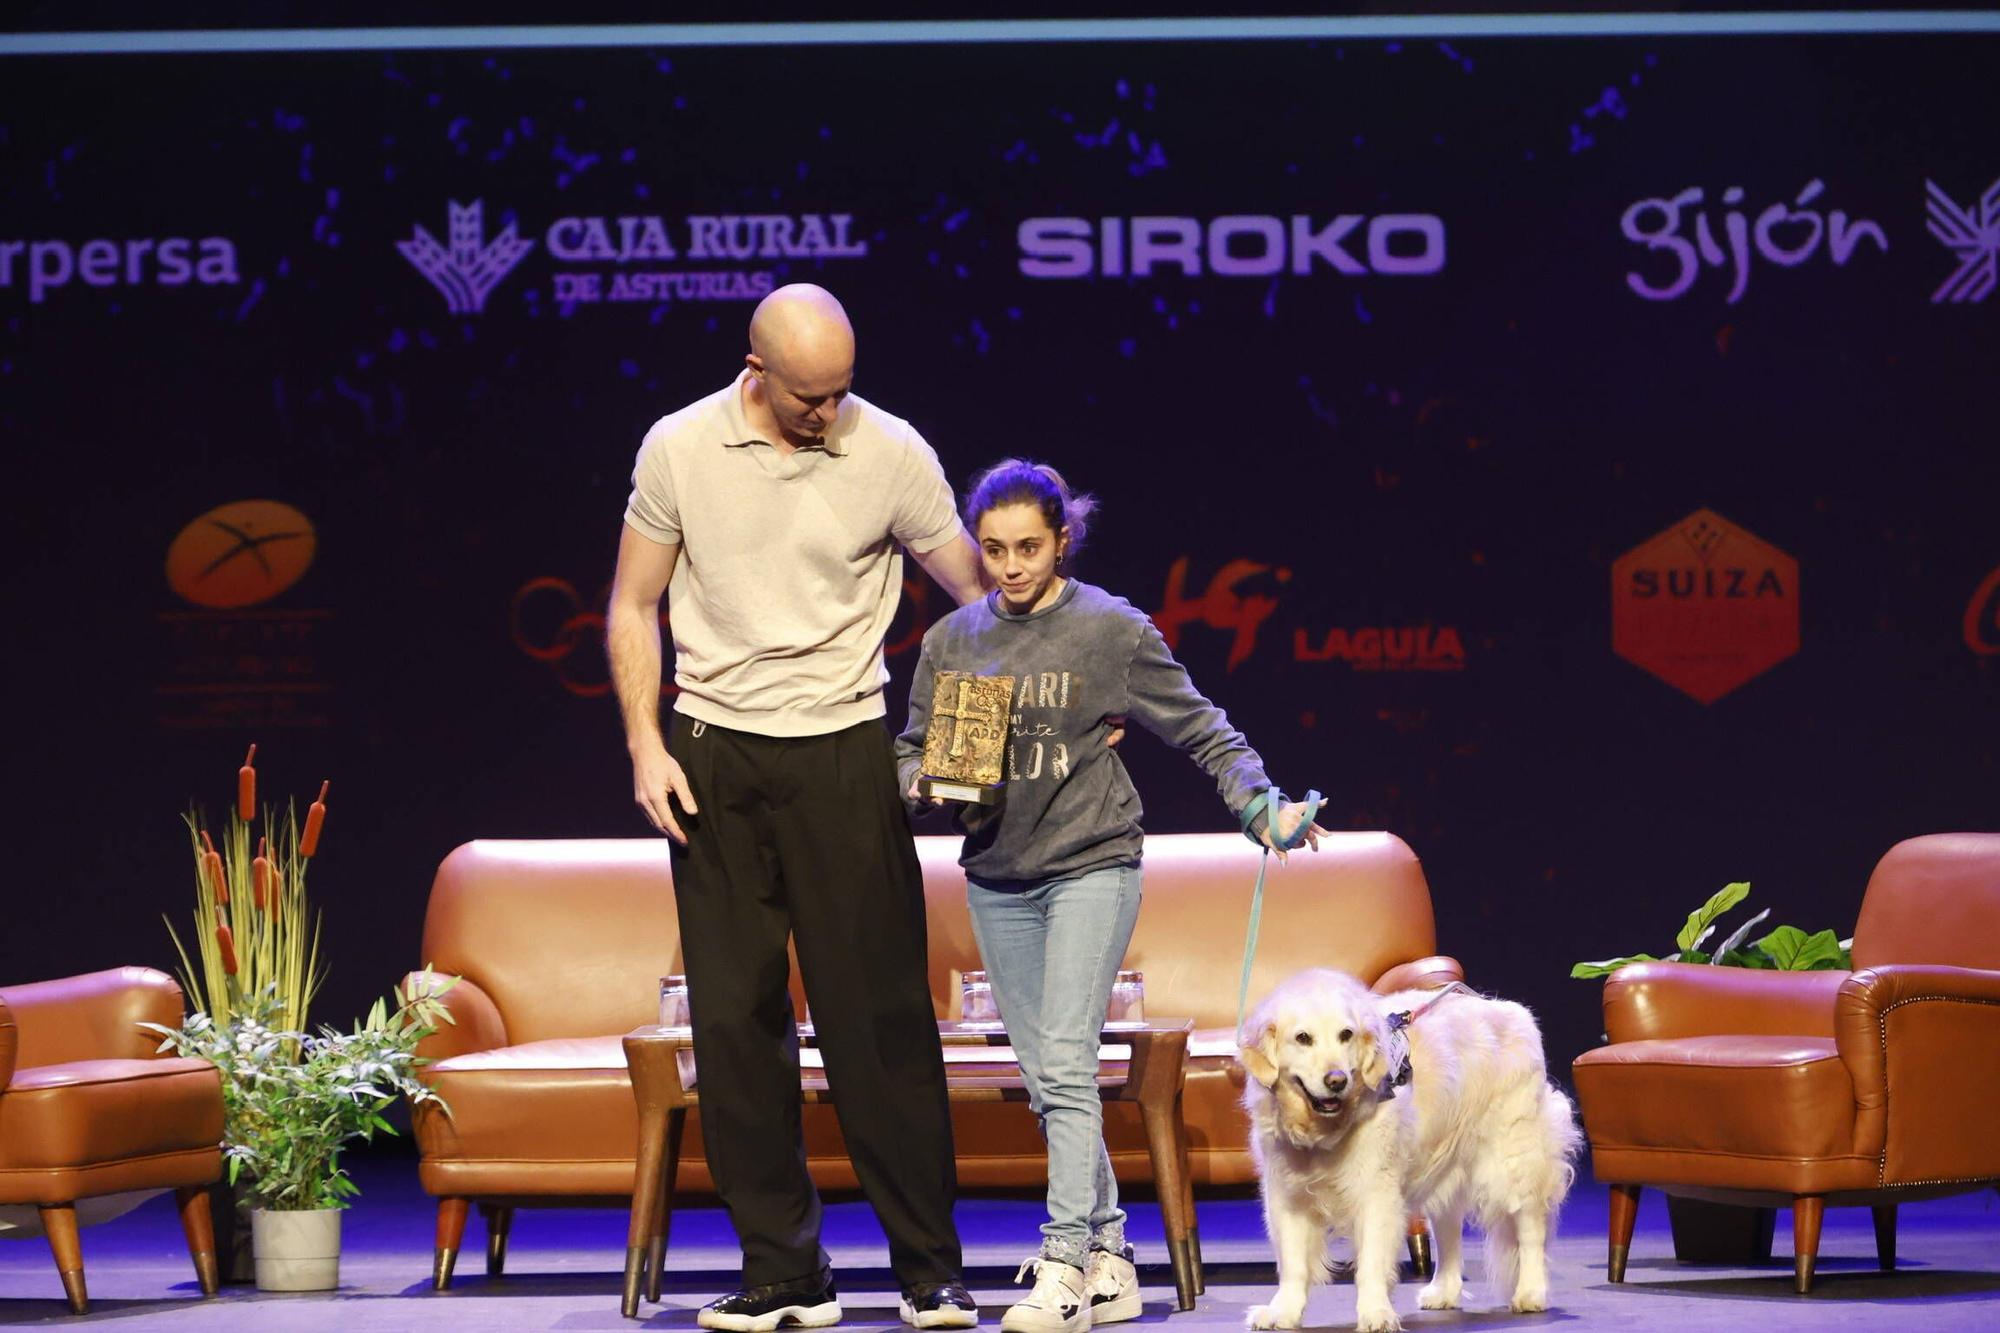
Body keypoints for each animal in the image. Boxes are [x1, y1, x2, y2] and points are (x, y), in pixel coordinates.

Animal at [1232, 964, 1576, 1328]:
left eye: (1346, 1035)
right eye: (1302, 1038)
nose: (1337, 1080)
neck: (1324, 1133)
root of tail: (1509, 1009)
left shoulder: (1376, 1194)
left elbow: (1370, 1263)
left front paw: (1375, 1313)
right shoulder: (1288, 1196)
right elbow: (1294, 1265)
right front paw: (1283, 1311)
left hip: (1513, 1162)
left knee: (1530, 1228)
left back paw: (1531, 1292)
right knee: (1448, 1232)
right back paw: (1443, 1291)